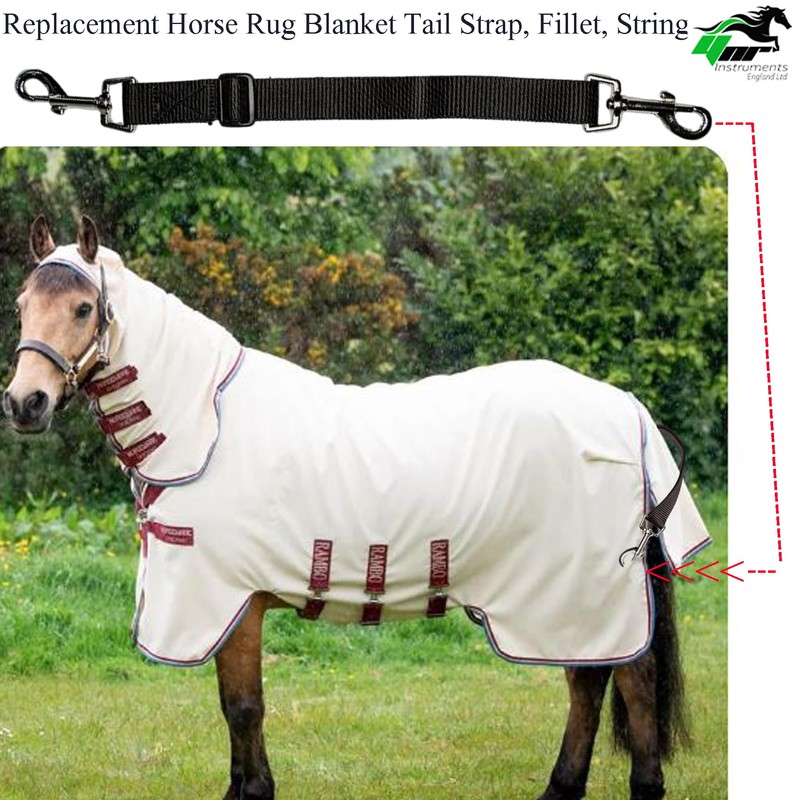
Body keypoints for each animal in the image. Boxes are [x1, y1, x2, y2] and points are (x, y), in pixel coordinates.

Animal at [3, 216, 711, 800]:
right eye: (21, 306)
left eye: (84, 307)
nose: (24, 403)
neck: (205, 426)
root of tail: (627, 408)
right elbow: (235, 708)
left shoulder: (234, 600)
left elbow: (243, 708)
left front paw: (253, 792)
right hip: (566, 598)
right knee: (590, 681)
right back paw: (559, 790)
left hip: (586, 589)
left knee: (632, 678)